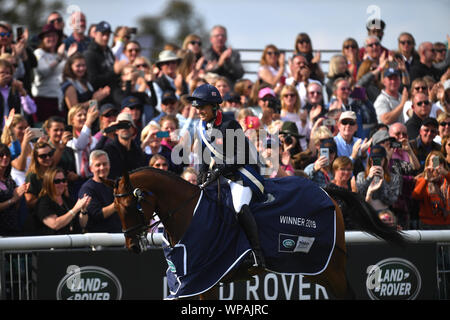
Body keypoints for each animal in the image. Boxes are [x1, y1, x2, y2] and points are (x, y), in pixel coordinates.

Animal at [103, 166, 406, 298]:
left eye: (128, 205)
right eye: (113, 207)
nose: (132, 246)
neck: (188, 212)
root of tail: (326, 192)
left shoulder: (202, 279)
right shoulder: (189, 281)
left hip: (330, 266)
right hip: (315, 269)